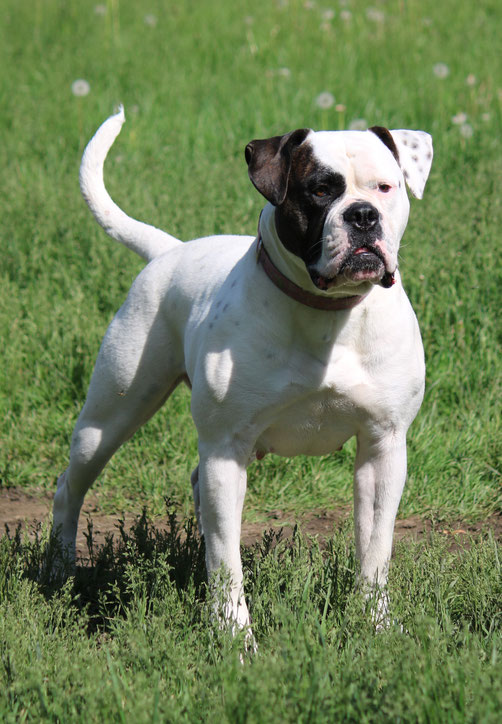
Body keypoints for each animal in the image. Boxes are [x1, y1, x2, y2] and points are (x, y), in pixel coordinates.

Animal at [54, 104, 432, 632]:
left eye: (386, 187)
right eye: (319, 189)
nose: (362, 215)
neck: (327, 313)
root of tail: (169, 251)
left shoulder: (383, 445)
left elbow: (375, 549)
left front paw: (375, 623)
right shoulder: (226, 449)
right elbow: (227, 560)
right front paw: (234, 634)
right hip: (109, 417)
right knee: (71, 488)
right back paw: (58, 573)